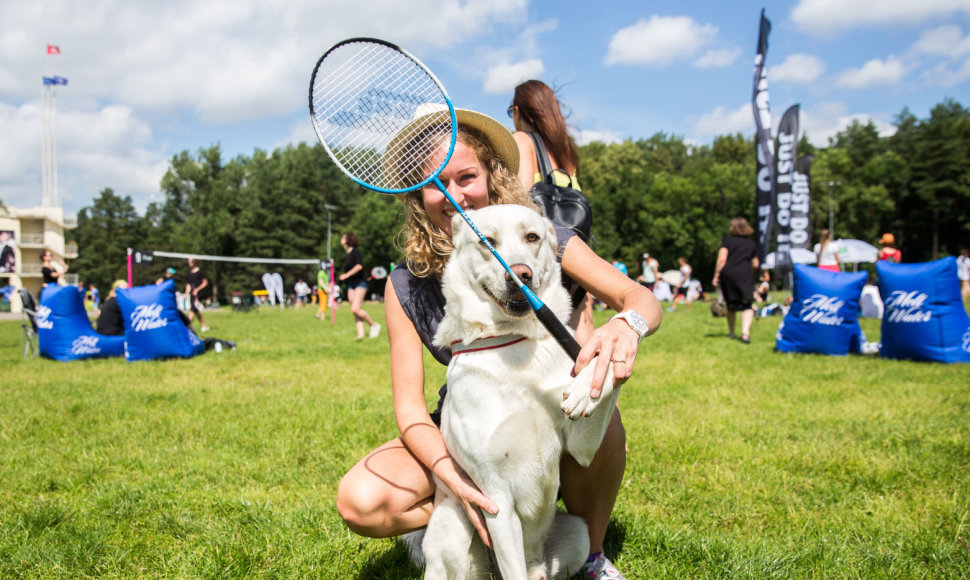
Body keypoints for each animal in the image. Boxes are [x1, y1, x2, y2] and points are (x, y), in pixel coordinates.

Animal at [408, 206, 620, 576]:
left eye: (531, 237)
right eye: (487, 242)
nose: (519, 274)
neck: (514, 344)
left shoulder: (581, 447)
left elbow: (600, 366)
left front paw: (589, 383)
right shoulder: (496, 498)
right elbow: (512, 568)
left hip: (577, 534)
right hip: (454, 533)